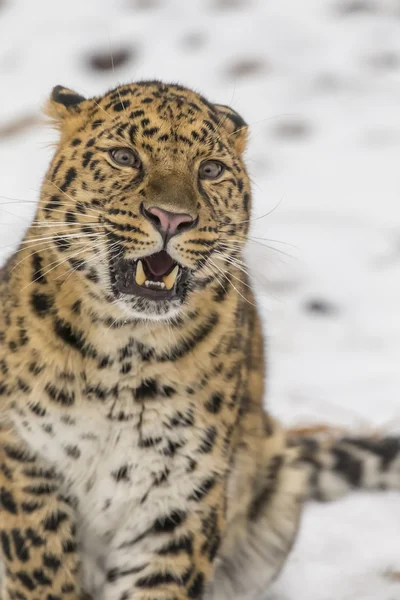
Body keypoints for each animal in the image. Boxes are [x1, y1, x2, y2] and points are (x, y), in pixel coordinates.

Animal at [0, 82, 400, 600]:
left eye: (209, 170)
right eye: (124, 157)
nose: (171, 219)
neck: (124, 349)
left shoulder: (177, 492)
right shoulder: (27, 461)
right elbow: (42, 570)